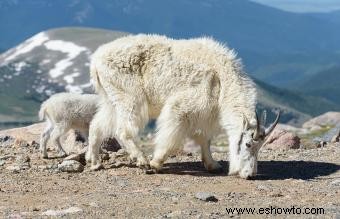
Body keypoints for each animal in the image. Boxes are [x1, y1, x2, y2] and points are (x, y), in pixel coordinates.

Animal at [87, 33, 278, 178]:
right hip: (129, 95)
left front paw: (212, 164)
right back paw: (142, 161)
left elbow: (205, 139)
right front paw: (156, 163)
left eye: (260, 147)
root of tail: (95, 60)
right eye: (248, 144)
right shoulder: (186, 105)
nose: (249, 174)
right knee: (123, 129)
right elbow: (172, 135)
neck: (223, 79)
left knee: (97, 125)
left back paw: (94, 162)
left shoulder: (205, 114)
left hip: (110, 96)